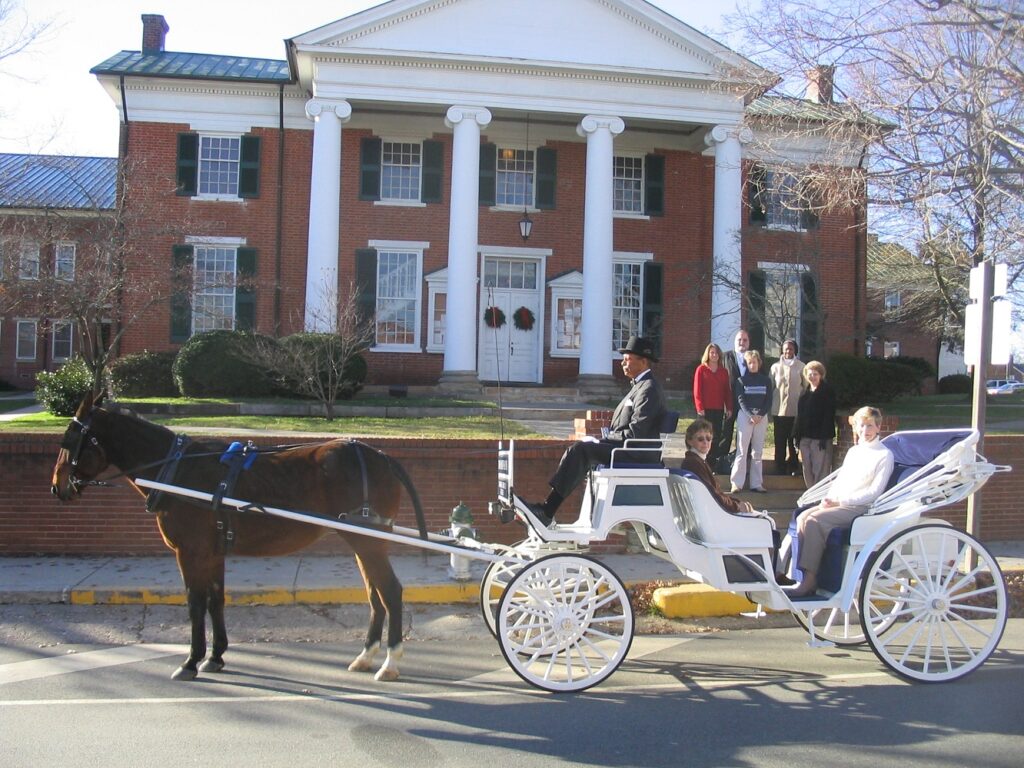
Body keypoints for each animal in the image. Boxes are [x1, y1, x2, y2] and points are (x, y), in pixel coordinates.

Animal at [49, 393, 425, 684]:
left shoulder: (191, 551)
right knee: (375, 594)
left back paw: (390, 662)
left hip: (367, 540)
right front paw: (215, 657)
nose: (57, 486)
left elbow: (195, 603)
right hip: (361, 538)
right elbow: (216, 600)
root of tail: (381, 457)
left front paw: (190, 661)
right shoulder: (213, 552)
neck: (176, 469)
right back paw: (366, 655)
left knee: (390, 592)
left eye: (69, 440)